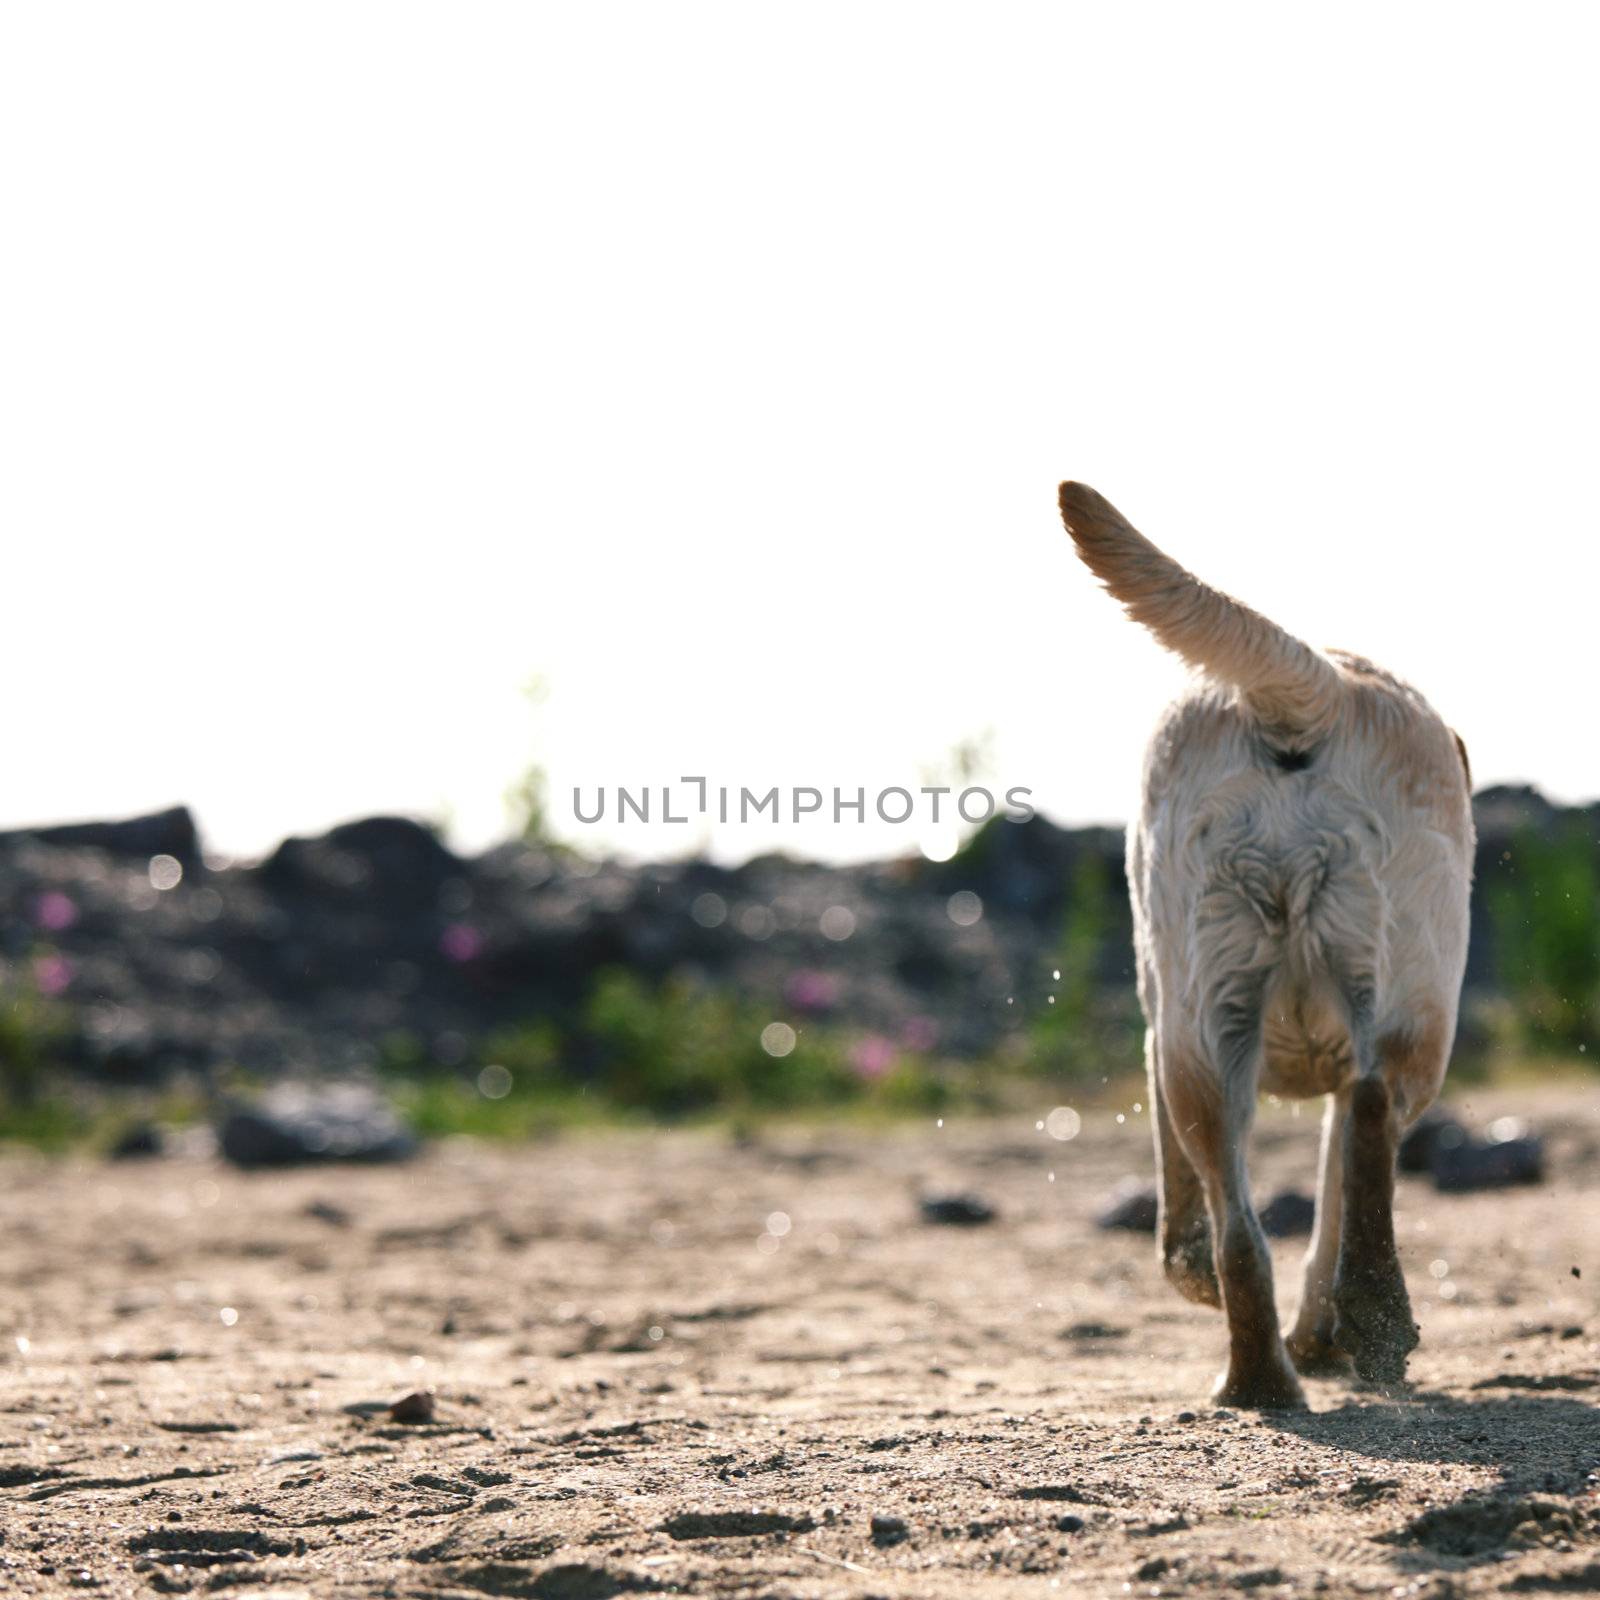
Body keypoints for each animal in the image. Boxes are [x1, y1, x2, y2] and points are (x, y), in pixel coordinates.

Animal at [1062, 480, 1472, 1408]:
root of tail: (1317, 686)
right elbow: (1332, 1197)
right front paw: (1330, 1331)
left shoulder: (1161, 1039)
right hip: (1412, 1007)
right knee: (1372, 1108)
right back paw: (1371, 1322)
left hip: (1203, 1026)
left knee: (1242, 1230)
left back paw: (1260, 1383)